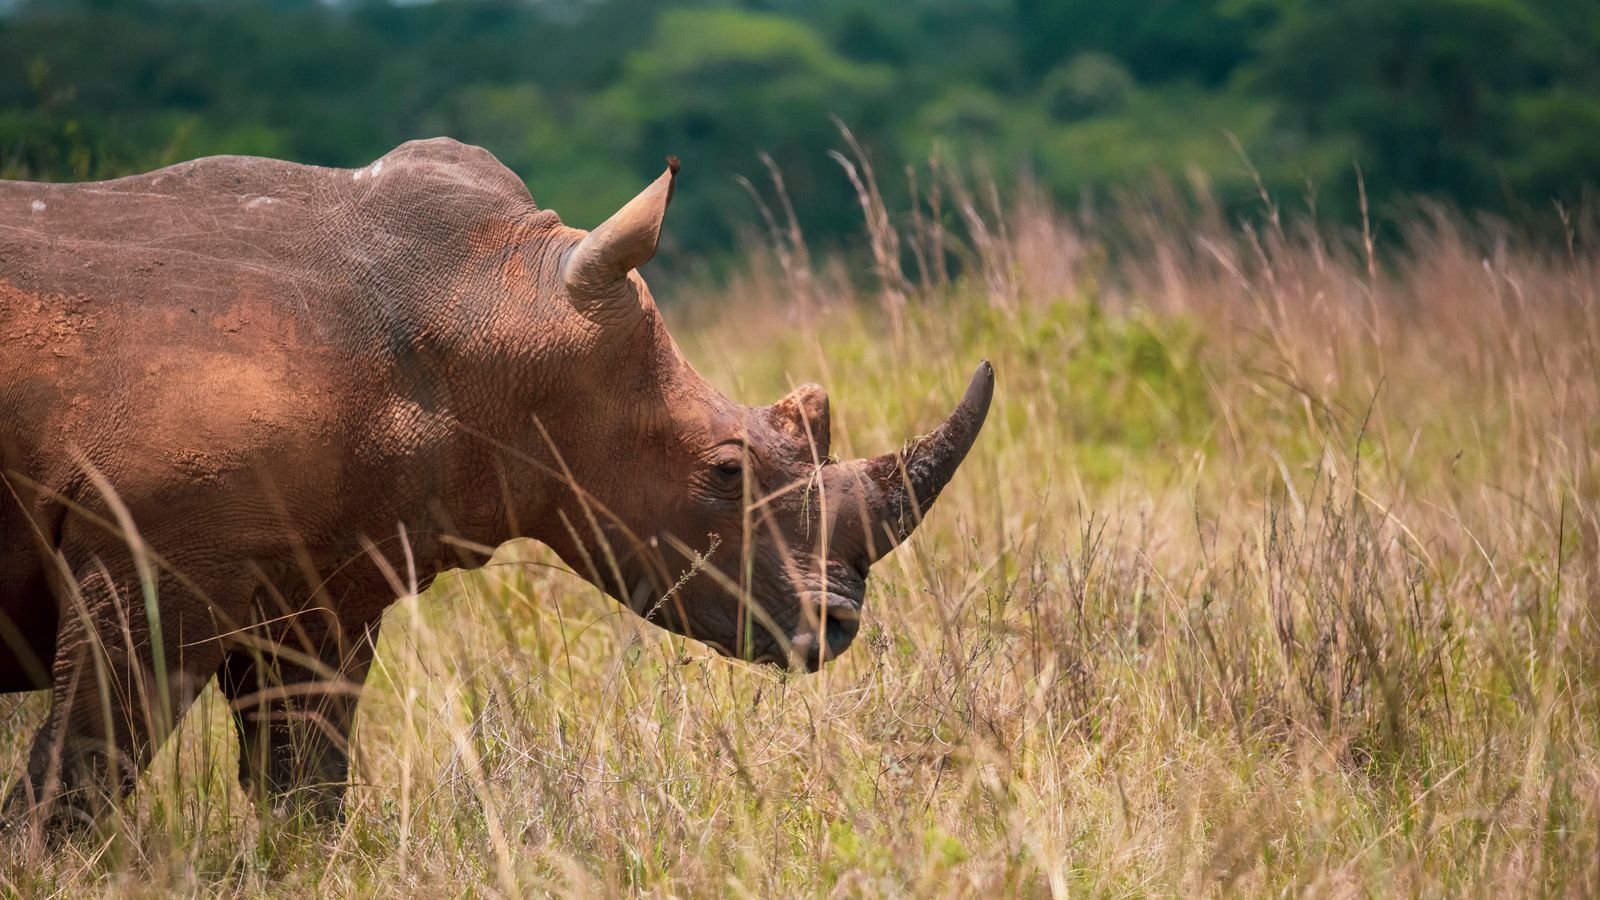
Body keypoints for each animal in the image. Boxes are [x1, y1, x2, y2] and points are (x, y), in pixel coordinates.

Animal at [0, 138, 991, 832]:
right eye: (725, 472)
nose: (839, 626)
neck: (491, 305)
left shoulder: (320, 585)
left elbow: (303, 787)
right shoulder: (152, 557)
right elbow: (80, 774)